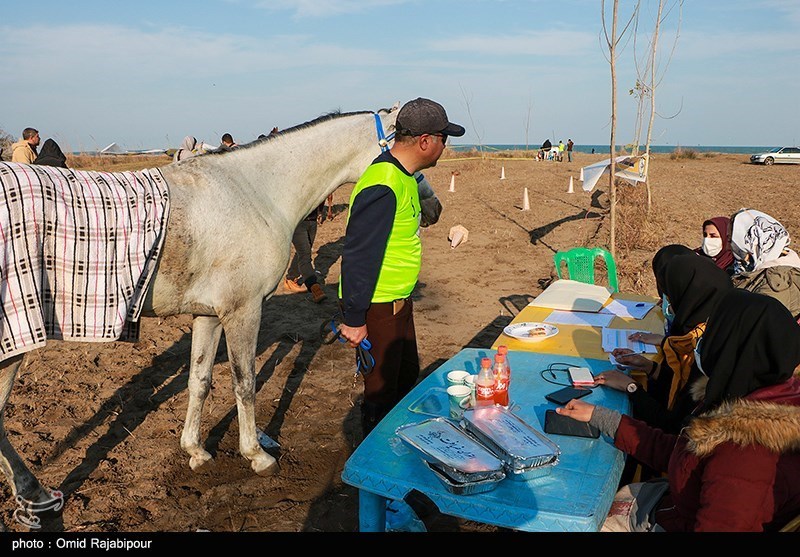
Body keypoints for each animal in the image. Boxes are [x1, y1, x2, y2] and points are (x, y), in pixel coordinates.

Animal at [0, 103, 444, 520]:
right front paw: (257, 455)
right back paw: (35, 494)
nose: (433, 206)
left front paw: (195, 450)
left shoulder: (209, 316)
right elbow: (244, 383)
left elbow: (200, 381)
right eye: (402, 159)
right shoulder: (242, 312)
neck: (257, 191)